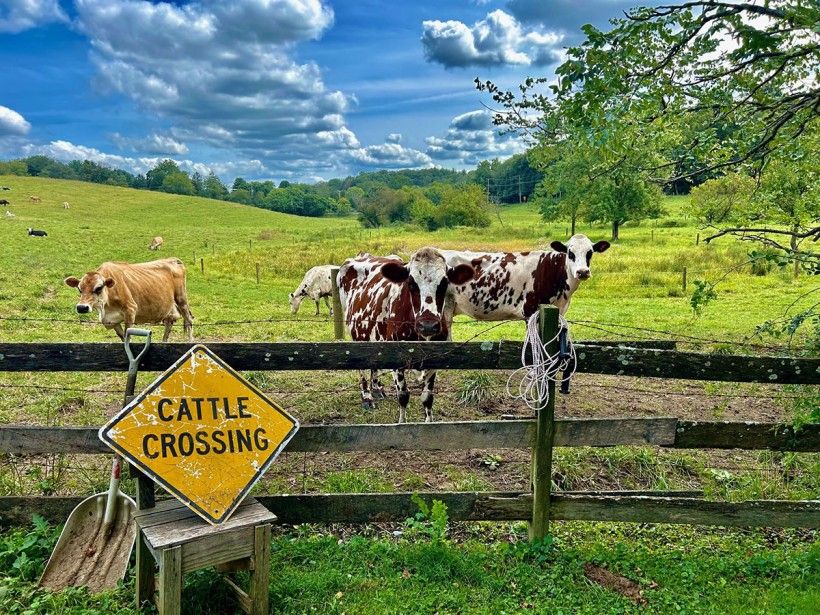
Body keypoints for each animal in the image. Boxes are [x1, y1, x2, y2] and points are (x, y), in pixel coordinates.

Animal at [65, 256, 195, 342]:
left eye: (99, 288)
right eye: (79, 289)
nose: (82, 307)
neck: (106, 308)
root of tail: (174, 259)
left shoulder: (130, 310)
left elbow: (128, 337)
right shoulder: (112, 320)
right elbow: (122, 338)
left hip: (181, 298)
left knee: (188, 320)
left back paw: (190, 341)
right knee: (169, 322)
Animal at [336, 249, 474, 424]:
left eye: (444, 283)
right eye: (411, 283)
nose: (428, 325)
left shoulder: (435, 360)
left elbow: (427, 398)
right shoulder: (396, 359)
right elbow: (403, 396)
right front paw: (402, 423)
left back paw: (376, 388)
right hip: (357, 337)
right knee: (361, 370)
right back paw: (367, 396)